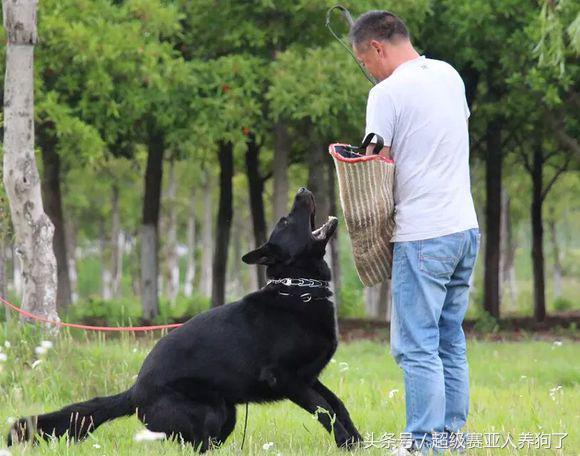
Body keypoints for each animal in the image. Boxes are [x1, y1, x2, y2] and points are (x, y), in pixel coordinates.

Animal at [7, 188, 362, 452]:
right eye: (286, 219)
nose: (302, 189)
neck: (298, 289)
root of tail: (134, 392)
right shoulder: (287, 379)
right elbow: (326, 413)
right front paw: (346, 443)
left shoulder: (309, 378)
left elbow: (339, 406)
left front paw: (358, 443)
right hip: (212, 410)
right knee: (195, 443)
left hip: (227, 413)